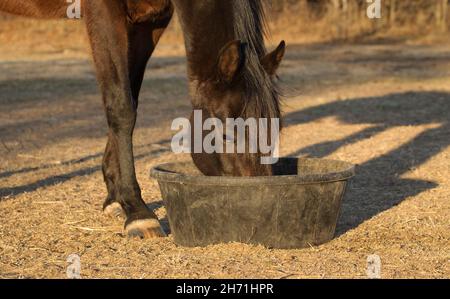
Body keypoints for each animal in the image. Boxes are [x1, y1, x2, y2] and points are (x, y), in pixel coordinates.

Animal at [0, 0, 284, 239]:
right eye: (226, 134)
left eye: (275, 127)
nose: (259, 206)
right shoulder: (103, 11)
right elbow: (121, 105)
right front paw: (138, 212)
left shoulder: (149, 20)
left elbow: (130, 97)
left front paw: (115, 198)